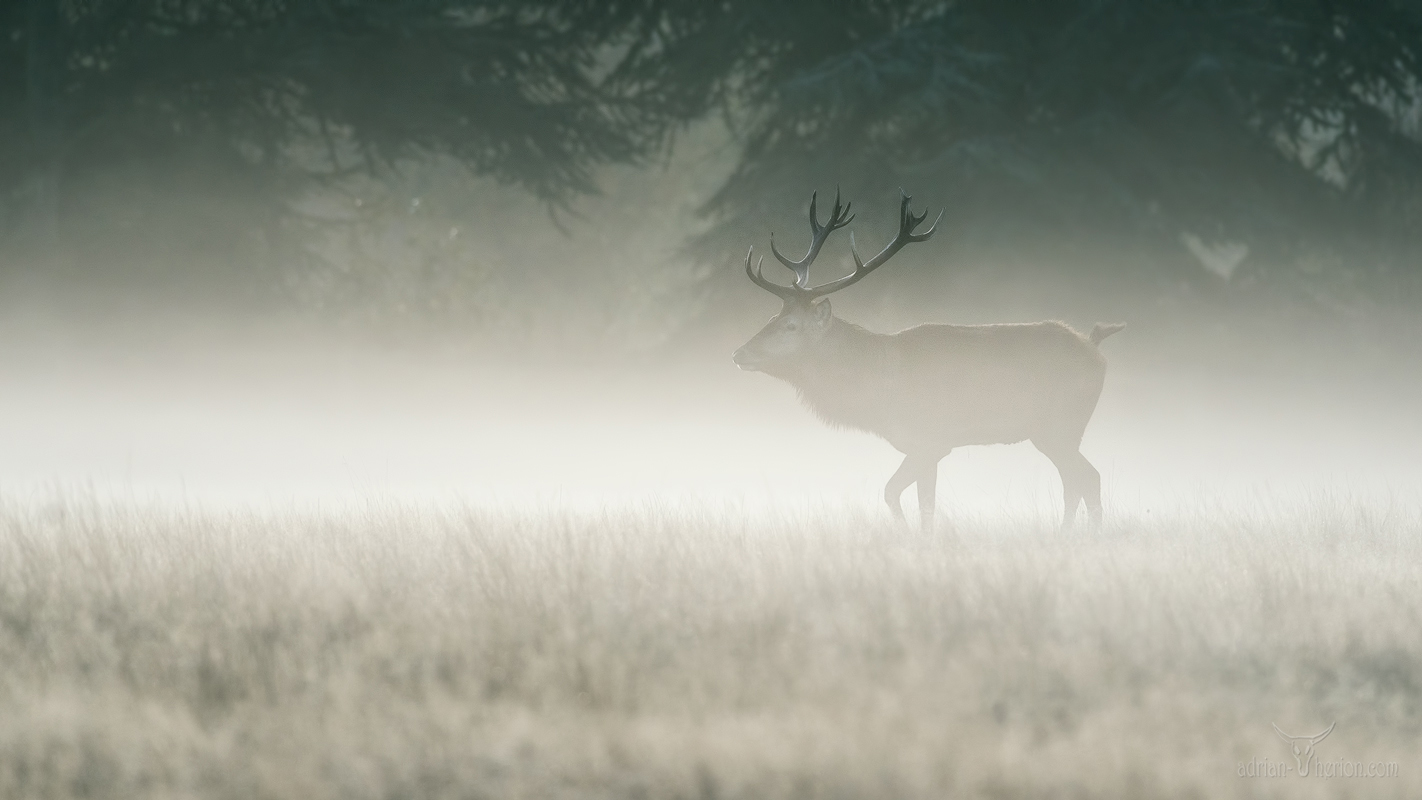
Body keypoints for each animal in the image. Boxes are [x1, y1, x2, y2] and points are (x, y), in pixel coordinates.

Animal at [732, 189, 1125, 533]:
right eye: (771, 317)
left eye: (791, 325)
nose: (739, 353)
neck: (878, 388)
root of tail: (1095, 347)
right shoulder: (926, 447)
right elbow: (915, 500)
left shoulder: (931, 440)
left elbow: (902, 496)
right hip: (1057, 431)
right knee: (1077, 481)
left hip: (1060, 424)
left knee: (1087, 479)